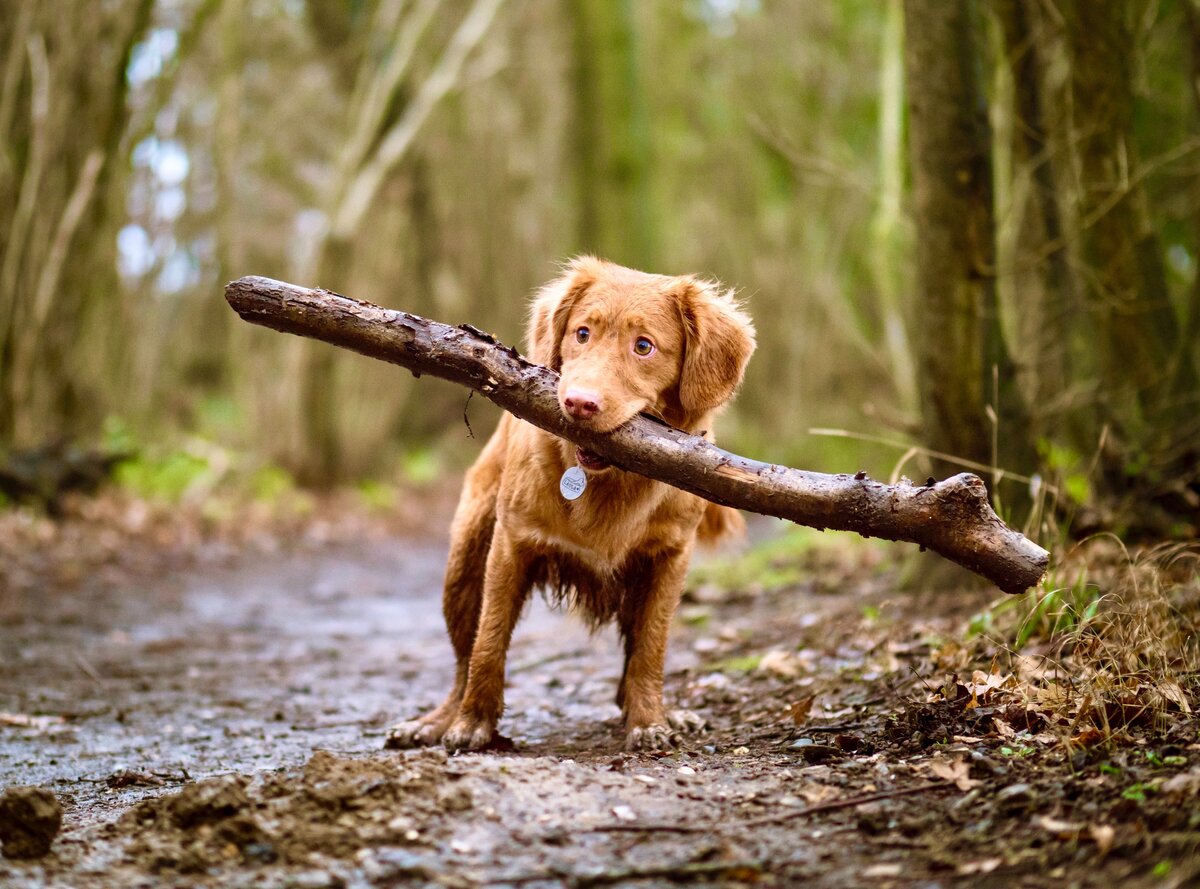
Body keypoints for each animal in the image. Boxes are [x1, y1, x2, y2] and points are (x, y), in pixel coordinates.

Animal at [388, 256, 753, 748]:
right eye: (582, 333)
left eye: (644, 346)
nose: (579, 403)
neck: (609, 481)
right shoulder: (511, 544)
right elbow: (489, 641)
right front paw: (472, 723)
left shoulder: (669, 558)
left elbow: (651, 647)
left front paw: (650, 721)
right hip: (464, 563)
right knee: (463, 658)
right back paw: (437, 720)